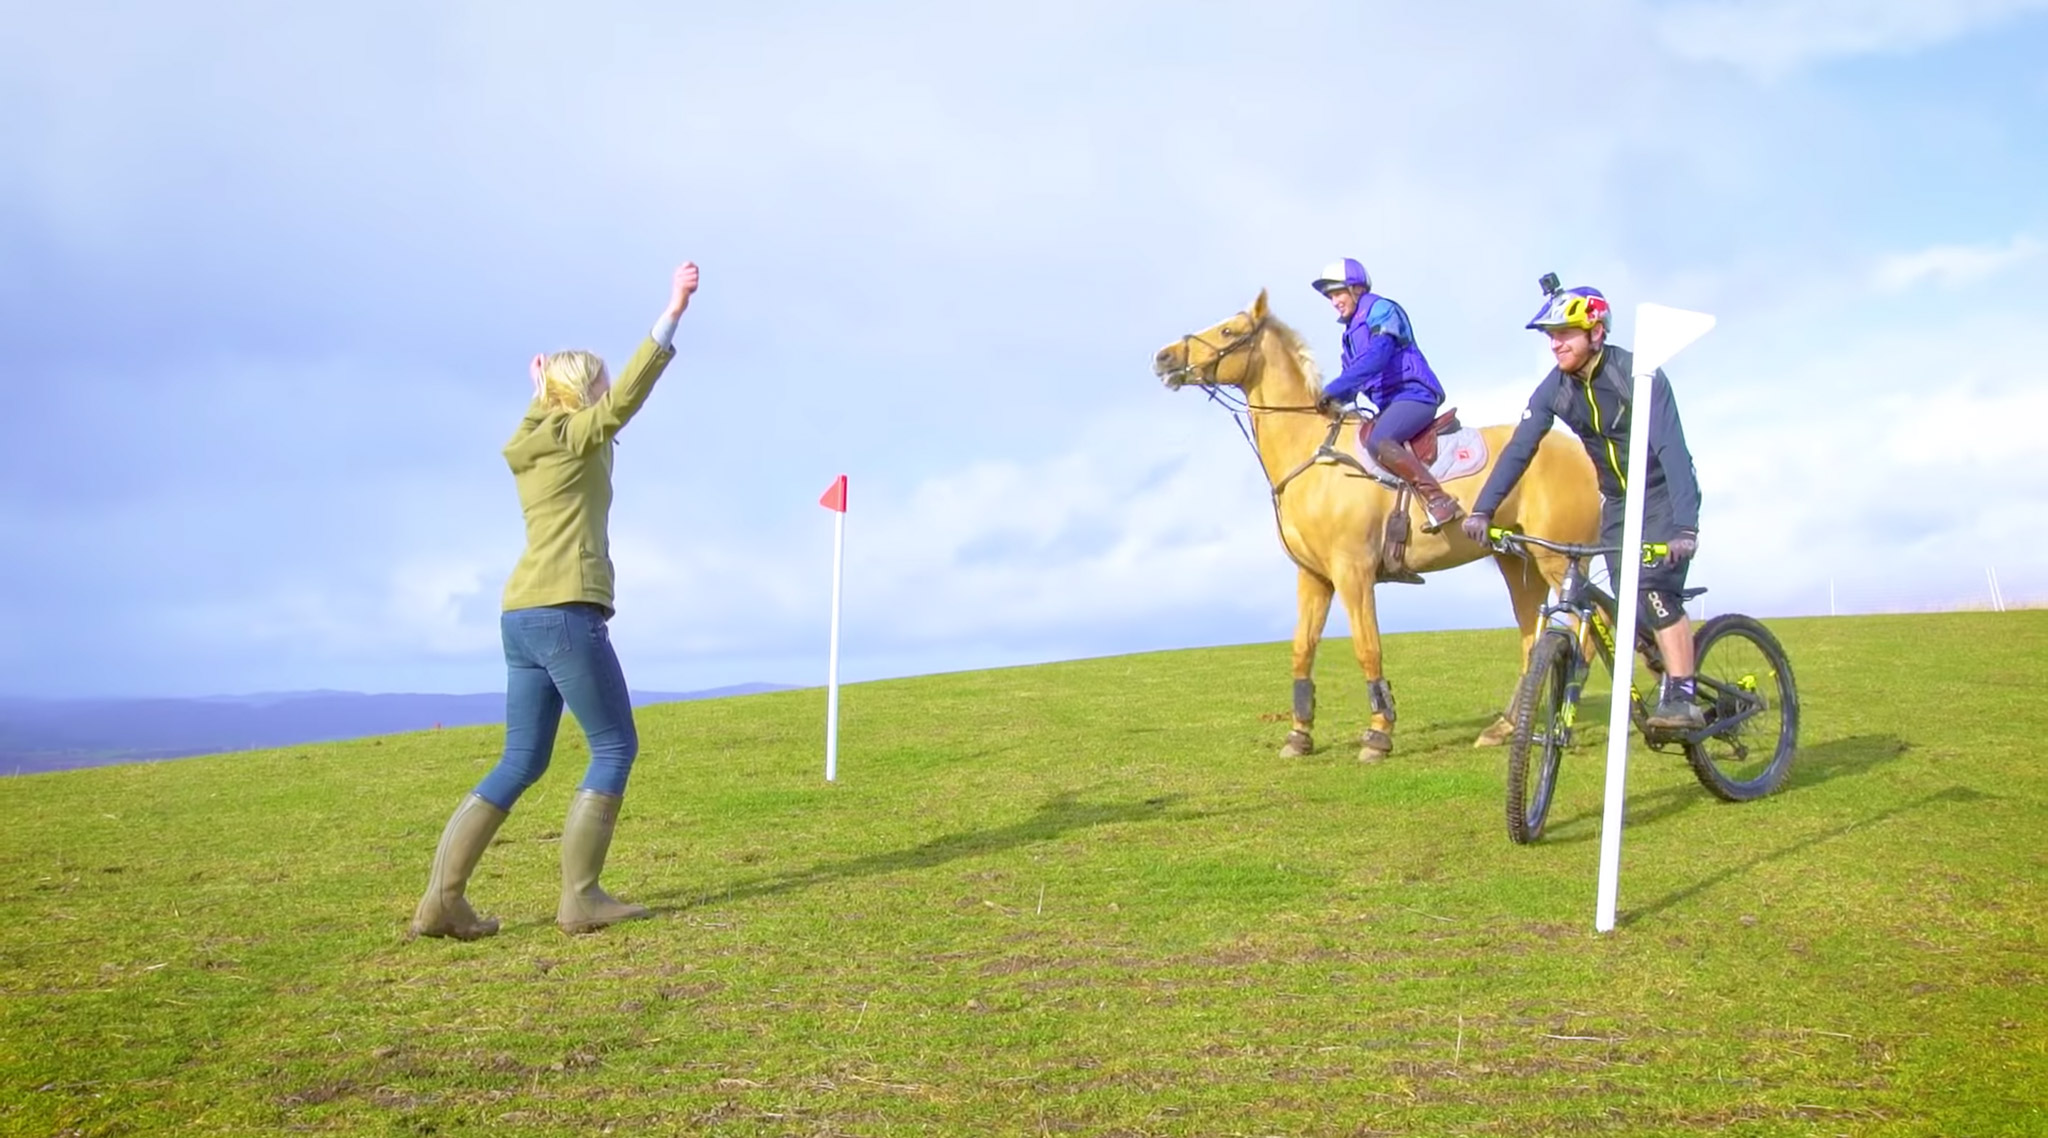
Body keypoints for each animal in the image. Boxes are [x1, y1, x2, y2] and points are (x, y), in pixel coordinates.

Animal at [1155, 288, 1597, 761]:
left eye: (1227, 331)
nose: (1163, 358)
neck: (1312, 453)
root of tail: (1580, 451)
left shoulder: (1353, 573)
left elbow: (1368, 650)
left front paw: (1378, 734)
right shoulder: (1313, 577)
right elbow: (1302, 650)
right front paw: (1299, 734)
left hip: (1560, 560)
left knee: (1584, 636)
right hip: (1517, 563)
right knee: (1531, 641)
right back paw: (1503, 728)